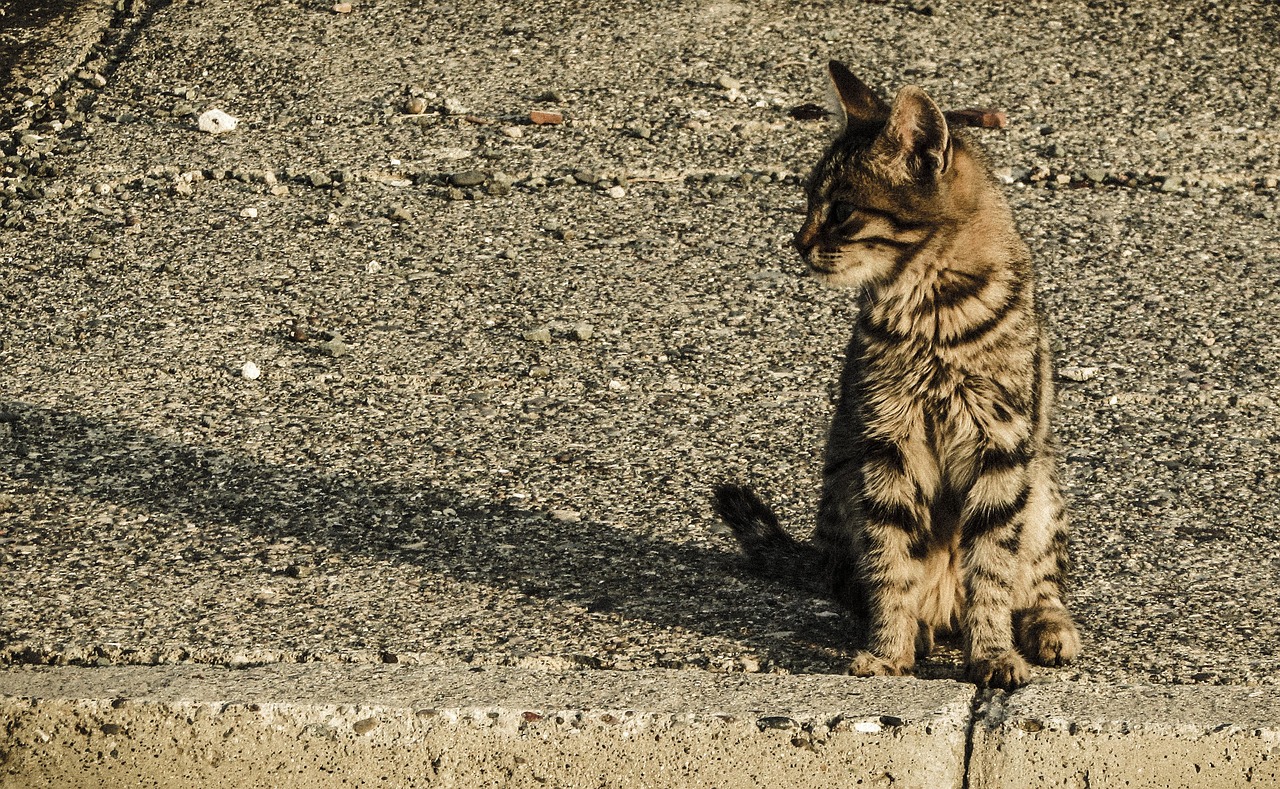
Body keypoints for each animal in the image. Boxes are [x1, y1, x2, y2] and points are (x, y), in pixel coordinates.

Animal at [721, 61, 1080, 691]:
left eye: (841, 211)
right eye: (808, 200)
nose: (798, 243)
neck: (931, 307)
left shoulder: (1001, 446)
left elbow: (992, 569)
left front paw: (993, 654)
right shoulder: (887, 442)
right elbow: (891, 564)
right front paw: (888, 650)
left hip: (1038, 484)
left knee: (1037, 584)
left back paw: (1046, 628)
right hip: (847, 484)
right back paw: (919, 629)